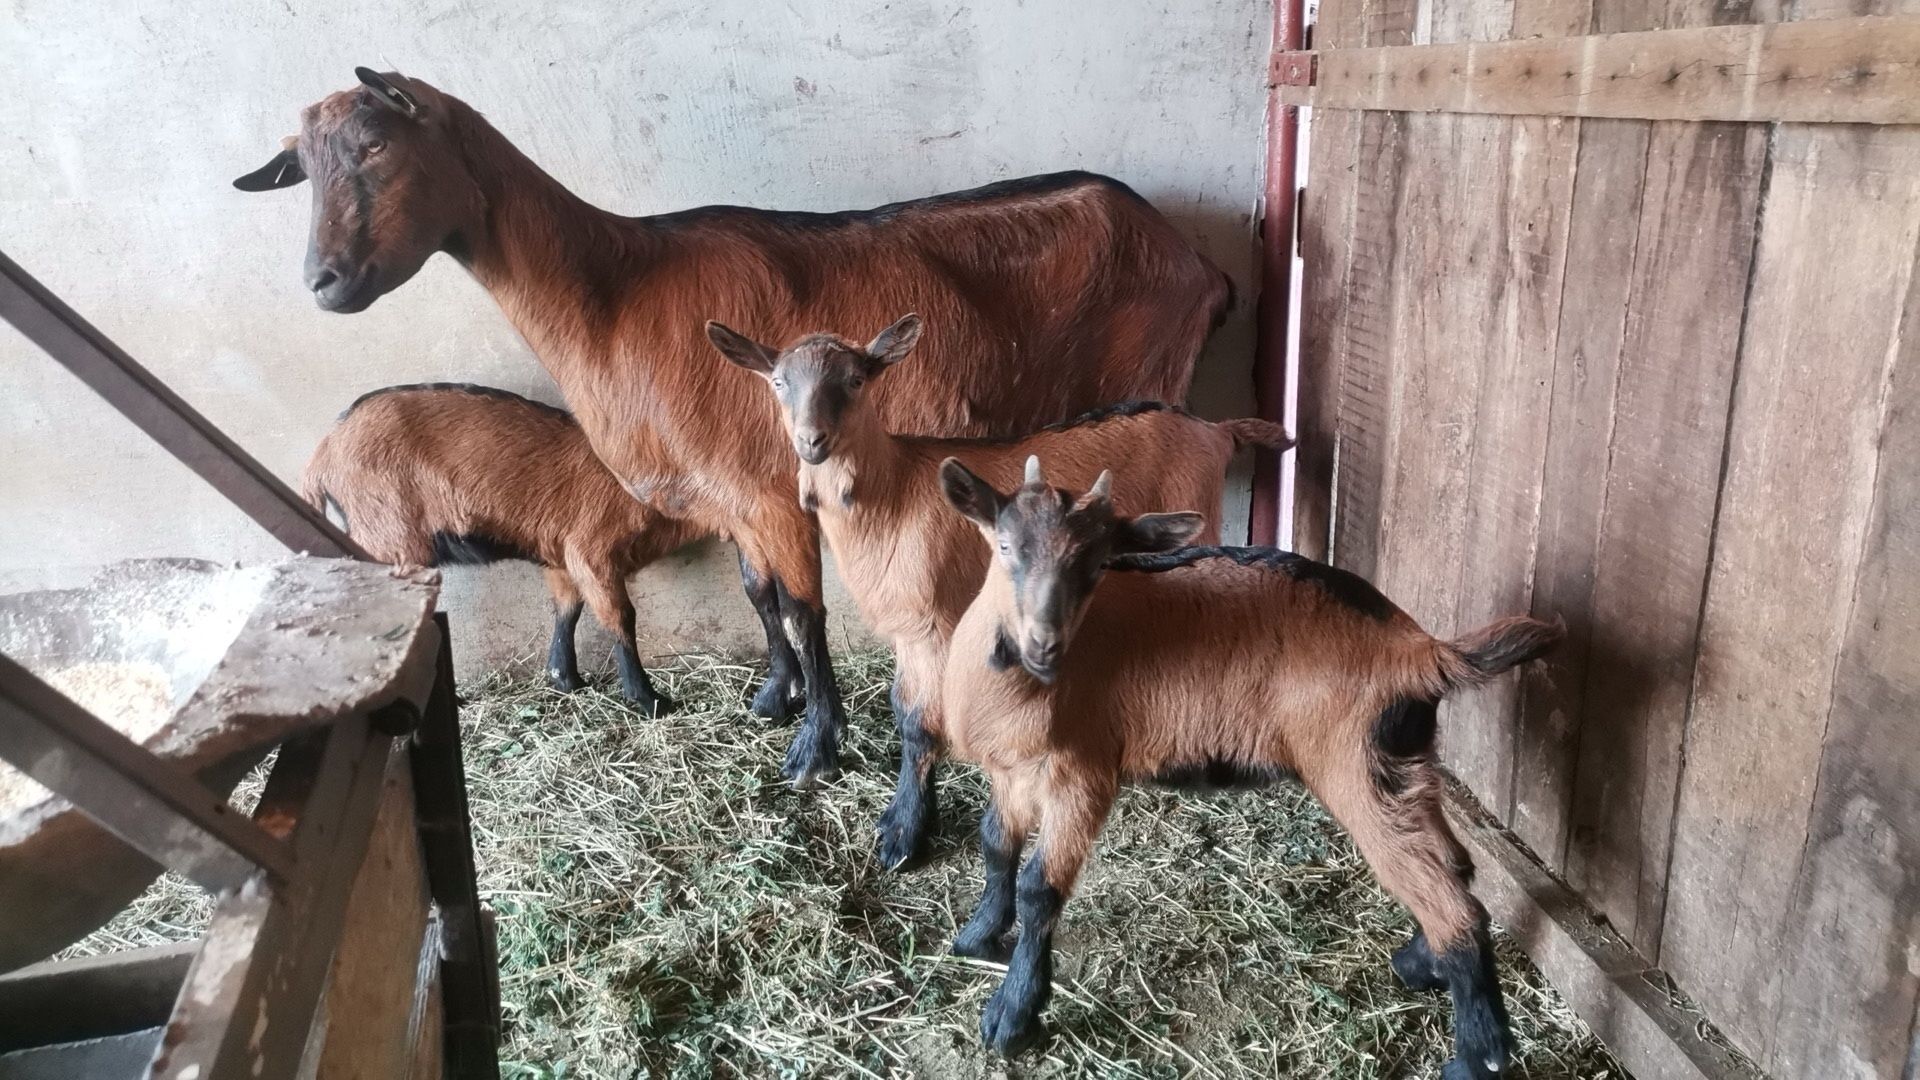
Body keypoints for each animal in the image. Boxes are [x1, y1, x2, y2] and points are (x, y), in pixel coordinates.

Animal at [236, 71, 1228, 787]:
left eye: (375, 145)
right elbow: (760, 596)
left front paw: (816, 747)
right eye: (303, 171)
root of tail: (1201, 266)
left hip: (1147, 390)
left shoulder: (776, 489)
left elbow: (805, 607)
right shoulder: (732, 495)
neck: (612, 297)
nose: (324, 282)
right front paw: (772, 697)